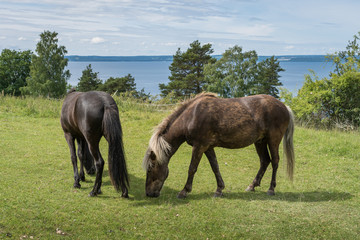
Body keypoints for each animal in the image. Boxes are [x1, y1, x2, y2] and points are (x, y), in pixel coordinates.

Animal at [142, 93, 294, 198]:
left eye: (150, 169)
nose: (149, 193)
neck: (191, 116)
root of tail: (284, 106)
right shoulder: (208, 147)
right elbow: (215, 167)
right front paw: (219, 189)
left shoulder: (199, 146)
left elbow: (192, 168)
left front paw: (184, 191)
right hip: (260, 141)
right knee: (264, 161)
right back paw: (252, 186)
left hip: (273, 140)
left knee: (275, 161)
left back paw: (271, 189)